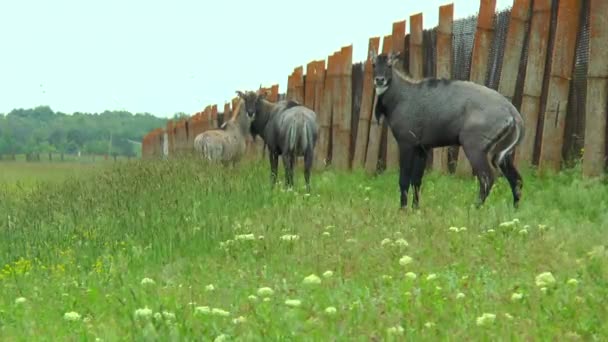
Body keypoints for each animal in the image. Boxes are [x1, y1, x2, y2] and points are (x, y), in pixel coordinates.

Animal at [368, 48, 524, 208]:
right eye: (373, 64)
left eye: (389, 65)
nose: (379, 80)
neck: (401, 96)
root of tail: (512, 112)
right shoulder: (422, 148)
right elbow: (416, 181)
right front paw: (416, 208)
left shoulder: (406, 144)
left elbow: (404, 180)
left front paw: (403, 209)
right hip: (501, 154)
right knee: (516, 179)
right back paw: (514, 209)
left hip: (474, 148)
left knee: (487, 178)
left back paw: (475, 208)